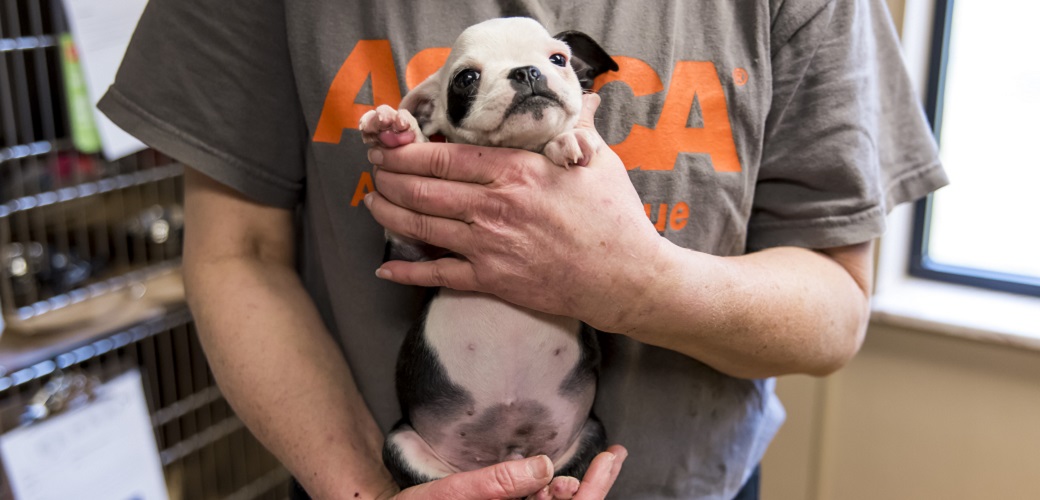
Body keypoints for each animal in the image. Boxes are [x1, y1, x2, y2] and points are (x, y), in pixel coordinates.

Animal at [359, 17, 615, 492]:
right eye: (466, 78)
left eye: (558, 58)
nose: (527, 72)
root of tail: (507, 453)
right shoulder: (412, 257)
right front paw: (395, 131)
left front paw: (566, 138)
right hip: (403, 445)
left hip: (590, 431)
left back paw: (557, 486)